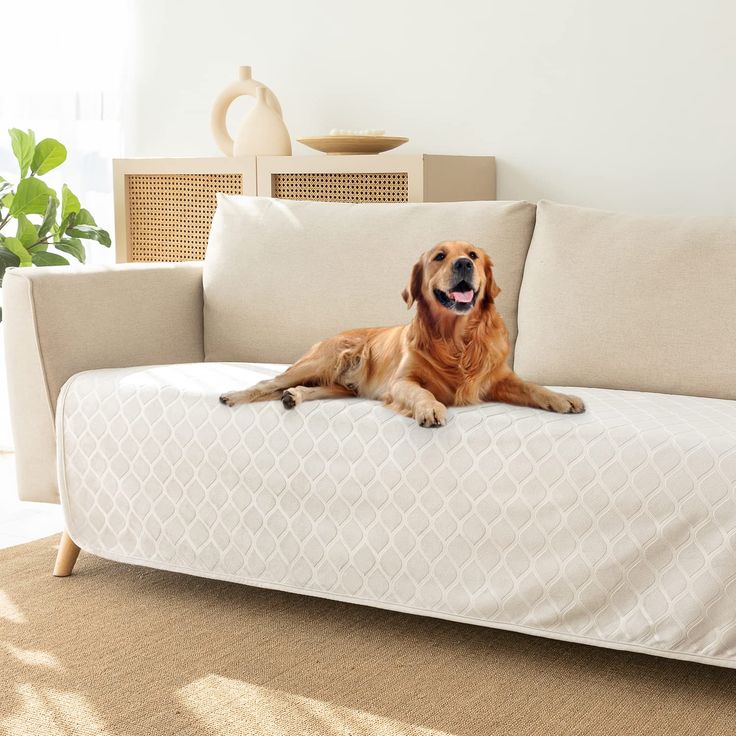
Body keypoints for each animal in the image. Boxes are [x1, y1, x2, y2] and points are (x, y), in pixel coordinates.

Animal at [220, 242, 588, 426]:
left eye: (473, 255)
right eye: (440, 256)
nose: (464, 264)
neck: (456, 340)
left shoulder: (498, 378)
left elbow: (532, 387)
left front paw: (562, 397)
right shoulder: (401, 382)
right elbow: (421, 393)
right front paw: (430, 409)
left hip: (340, 387)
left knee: (305, 389)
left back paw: (293, 396)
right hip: (323, 361)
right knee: (267, 382)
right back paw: (233, 396)